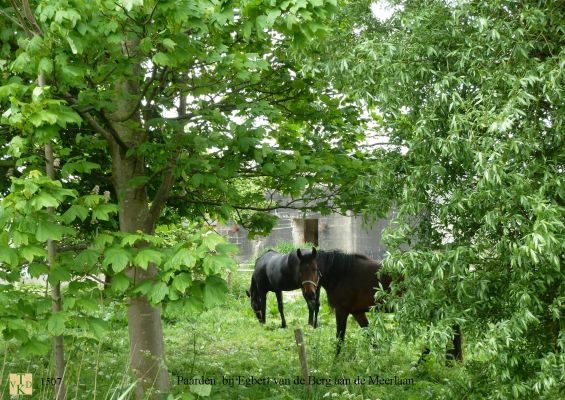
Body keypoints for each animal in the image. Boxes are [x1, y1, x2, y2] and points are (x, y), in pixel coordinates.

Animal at [302, 247, 460, 360]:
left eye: (315, 269)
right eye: (301, 270)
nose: (310, 294)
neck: (342, 273)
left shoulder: (342, 311)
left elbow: (340, 338)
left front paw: (335, 363)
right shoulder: (357, 312)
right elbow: (371, 338)